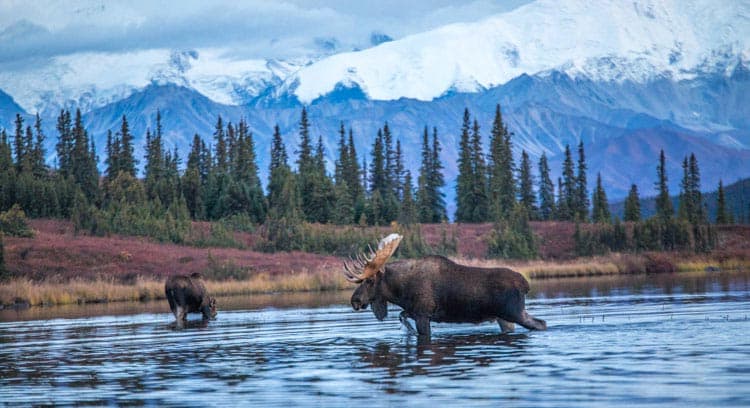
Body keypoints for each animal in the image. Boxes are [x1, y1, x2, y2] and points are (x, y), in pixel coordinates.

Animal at [346, 234, 548, 340]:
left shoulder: (423, 313)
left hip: (514, 312)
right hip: (504, 318)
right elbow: (401, 315)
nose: (354, 300)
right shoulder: (415, 311)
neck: (400, 292)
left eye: (369, 281)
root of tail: (525, 284)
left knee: (541, 324)